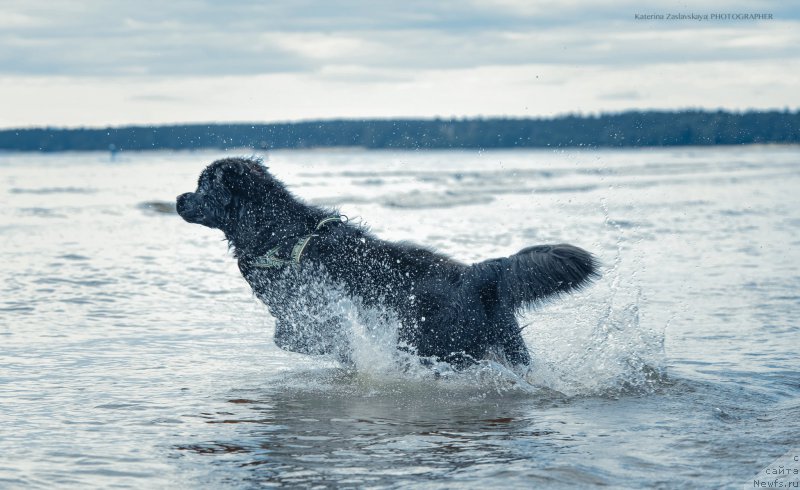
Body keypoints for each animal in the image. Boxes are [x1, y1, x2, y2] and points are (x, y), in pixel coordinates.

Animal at [178, 159, 596, 370]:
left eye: (203, 187)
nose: (179, 198)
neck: (275, 231)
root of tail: (477, 274)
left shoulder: (304, 304)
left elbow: (296, 336)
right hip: (506, 344)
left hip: (434, 341)